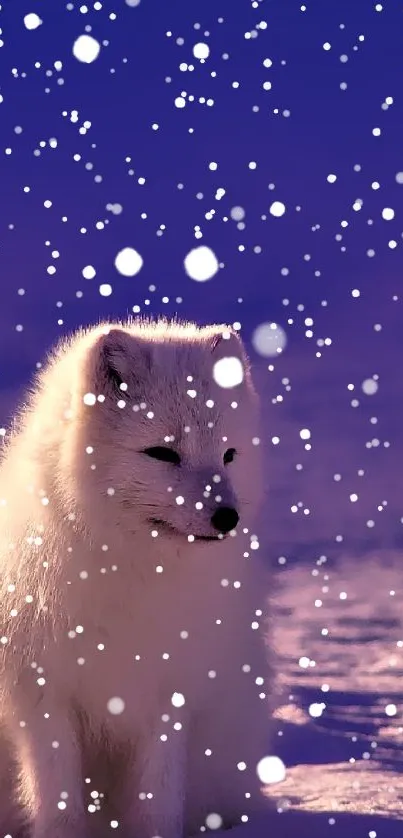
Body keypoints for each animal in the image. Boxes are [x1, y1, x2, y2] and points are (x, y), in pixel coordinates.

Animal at [0, 318, 274, 836]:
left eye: (229, 454)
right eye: (162, 453)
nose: (227, 517)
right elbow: (58, 801)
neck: (129, 569)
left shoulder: (167, 693)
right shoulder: (43, 696)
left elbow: (157, 801)